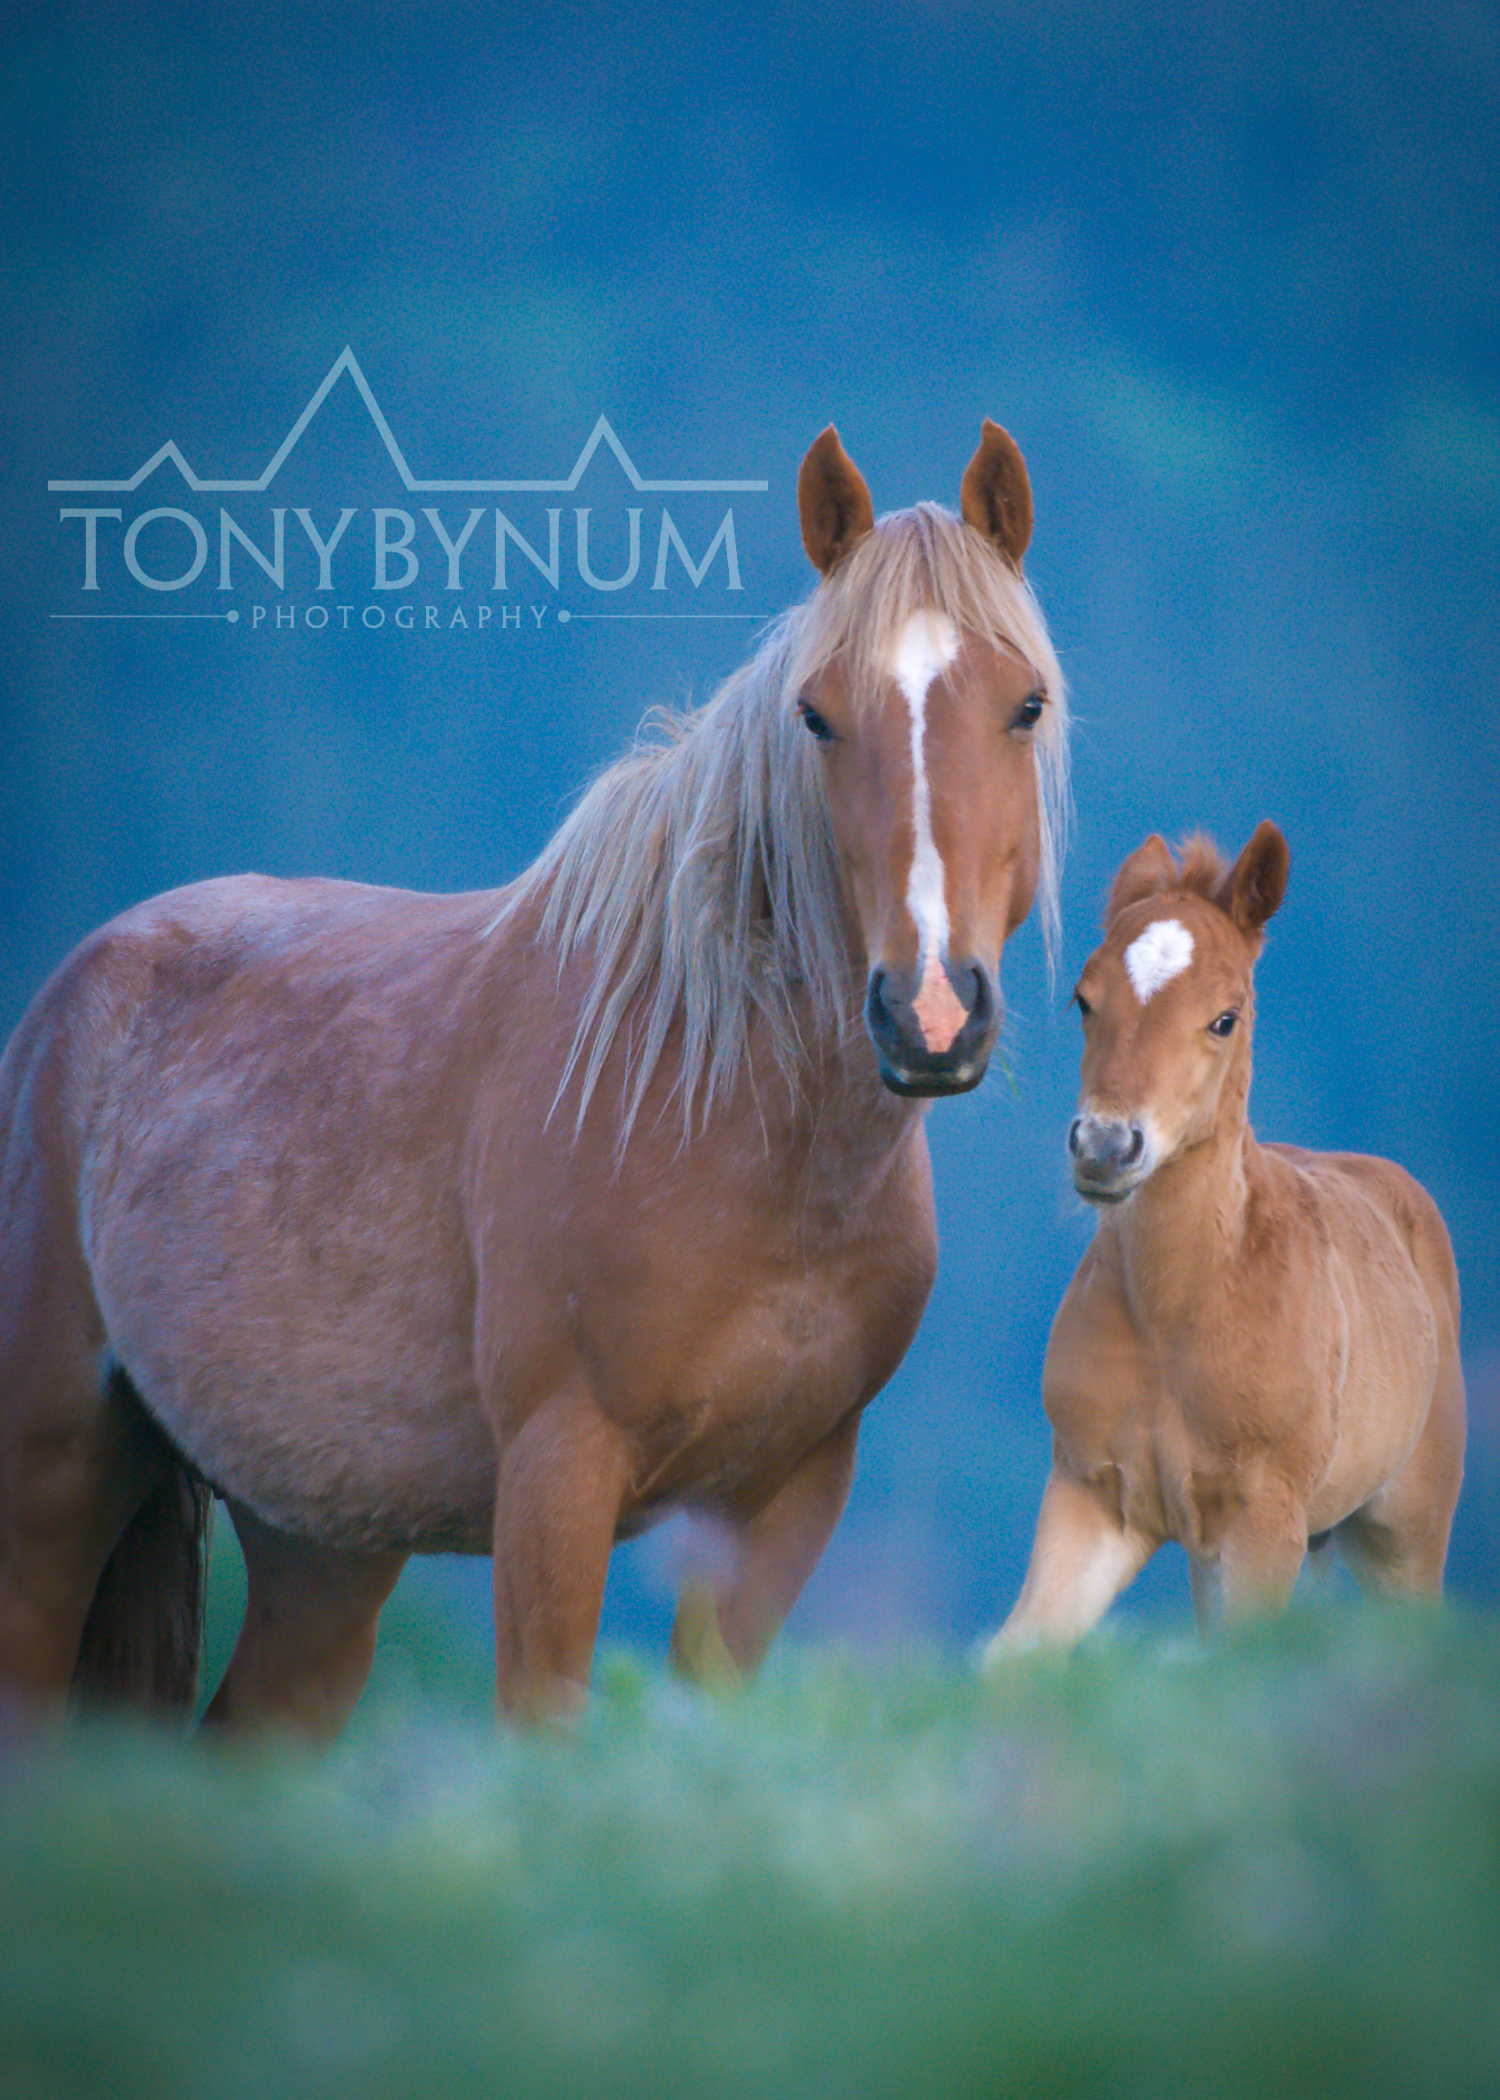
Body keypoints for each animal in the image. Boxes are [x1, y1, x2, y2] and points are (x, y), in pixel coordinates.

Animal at [5, 417, 1067, 1730]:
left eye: (1025, 705)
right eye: (817, 716)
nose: (928, 1014)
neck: (720, 1109)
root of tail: (75, 994)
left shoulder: (784, 1498)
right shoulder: (560, 1475)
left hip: (323, 1545)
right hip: (54, 1480)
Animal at [983, 818, 1462, 1654]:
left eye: (1223, 1018)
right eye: (1083, 999)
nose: (1105, 1147)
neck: (1176, 1318)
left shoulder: (1263, 1520)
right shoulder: (1090, 1492)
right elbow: (1016, 1654)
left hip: (1400, 1533)